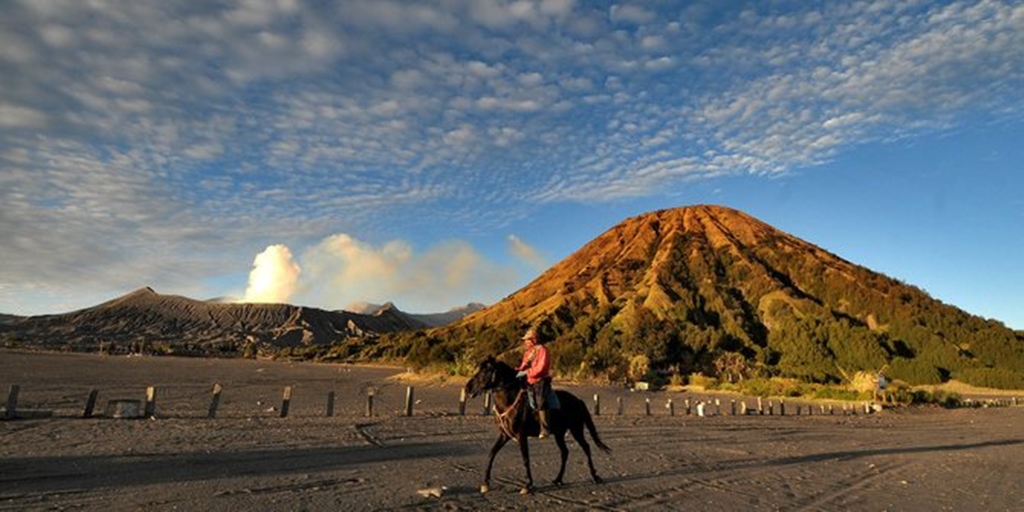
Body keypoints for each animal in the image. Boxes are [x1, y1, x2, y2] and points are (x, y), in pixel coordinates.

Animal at [468, 354, 610, 493]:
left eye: (485, 371)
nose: (468, 387)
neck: (509, 401)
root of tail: (577, 400)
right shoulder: (505, 435)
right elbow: (492, 453)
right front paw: (485, 483)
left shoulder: (521, 436)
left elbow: (525, 458)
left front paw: (527, 485)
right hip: (559, 434)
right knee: (565, 452)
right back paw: (558, 479)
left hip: (576, 429)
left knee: (586, 447)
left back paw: (595, 476)